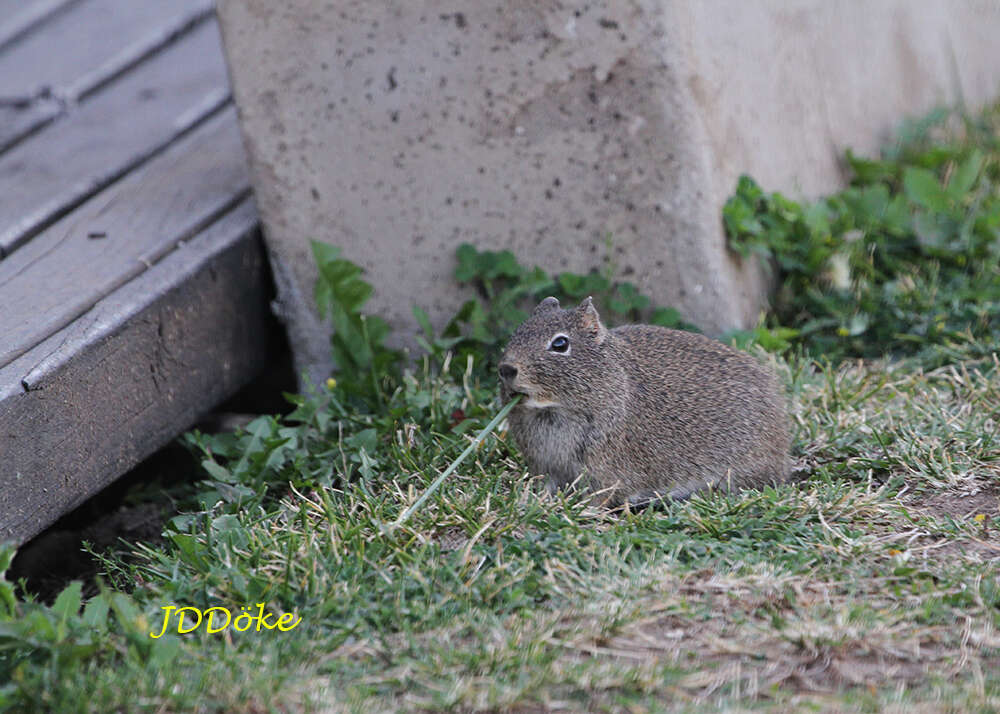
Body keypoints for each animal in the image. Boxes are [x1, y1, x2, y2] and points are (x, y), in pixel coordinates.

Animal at [498, 294, 788, 506]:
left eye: (560, 344)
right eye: (517, 333)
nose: (506, 368)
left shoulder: (604, 472)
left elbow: (599, 498)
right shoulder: (546, 467)